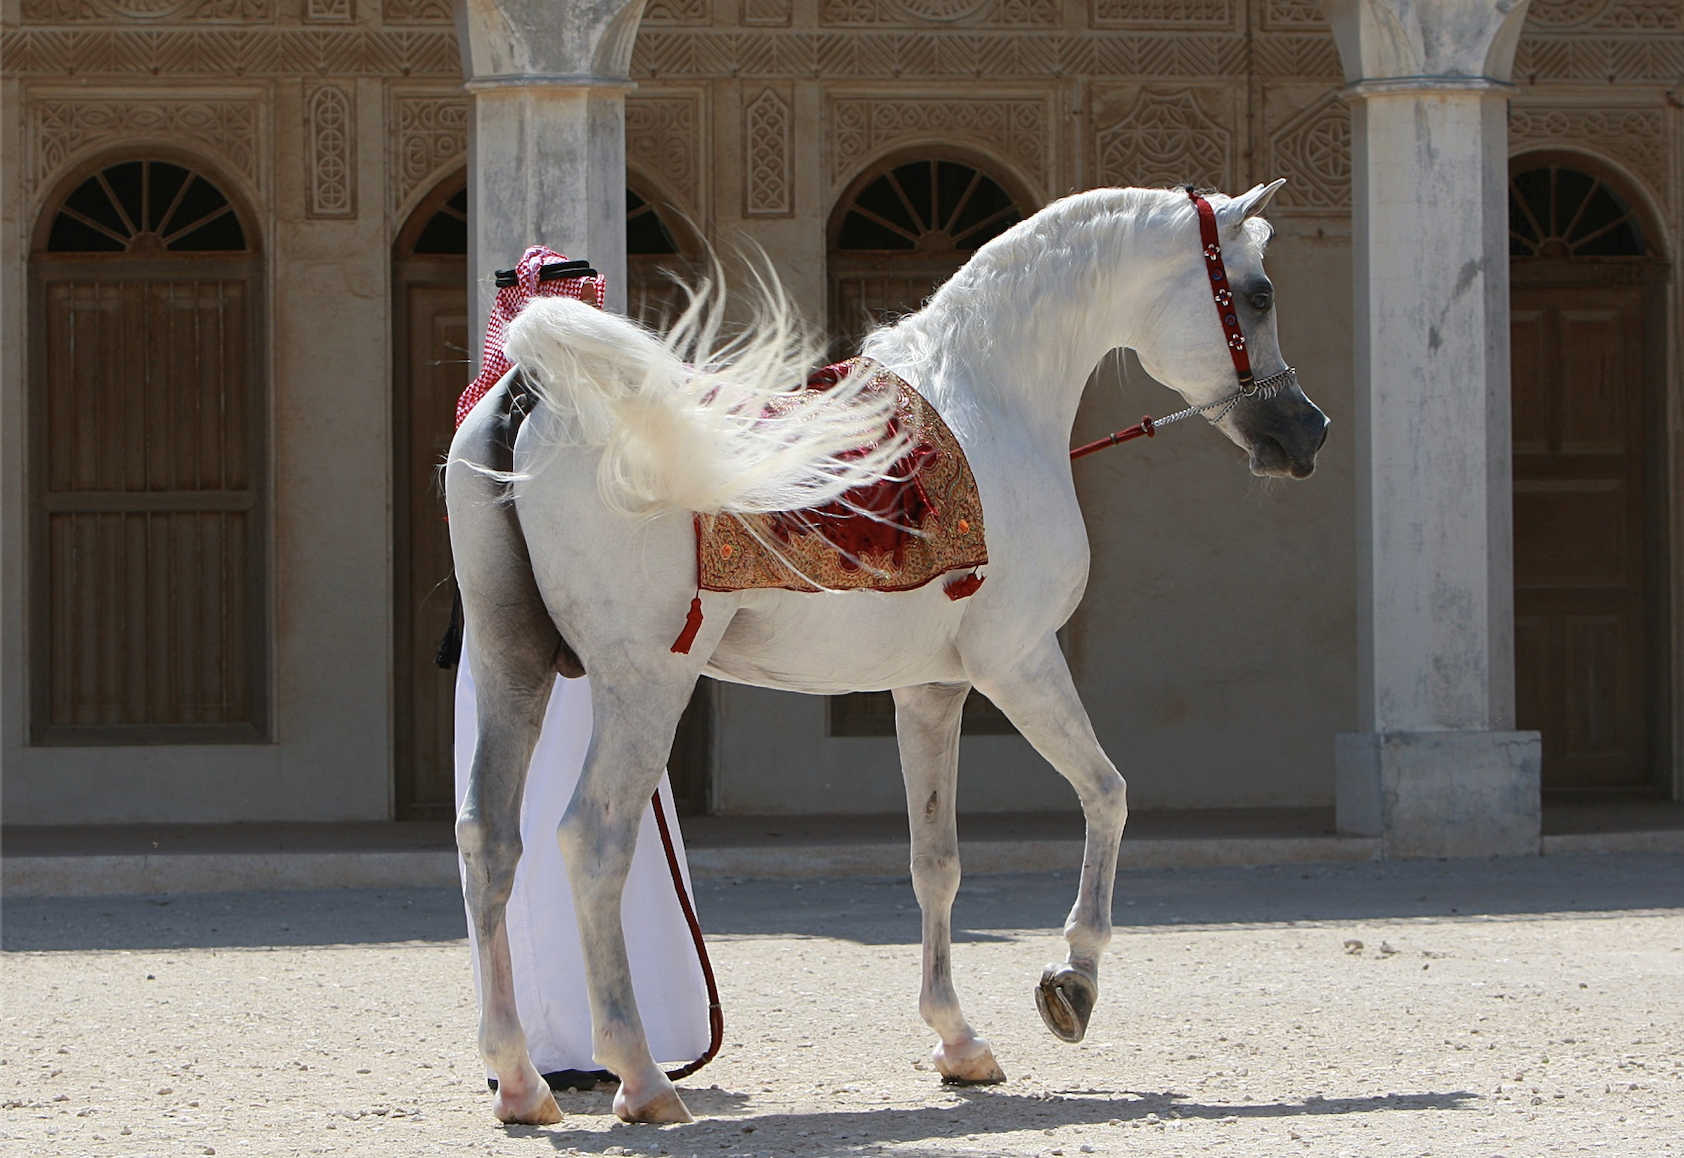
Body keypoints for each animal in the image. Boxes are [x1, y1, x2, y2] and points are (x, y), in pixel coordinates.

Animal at [446, 180, 1329, 1126]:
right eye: (1258, 294)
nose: (1307, 432)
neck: (988, 402)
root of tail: (534, 396)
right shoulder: (1018, 662)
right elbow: (1108, 795)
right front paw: (1073, 980)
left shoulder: (931, 690)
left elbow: (935, 861)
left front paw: (960, 1040)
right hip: (644, 684)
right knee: (593, 841)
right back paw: (640, 1077)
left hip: (510, 665)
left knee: (490, 840)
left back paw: (522, 1080)